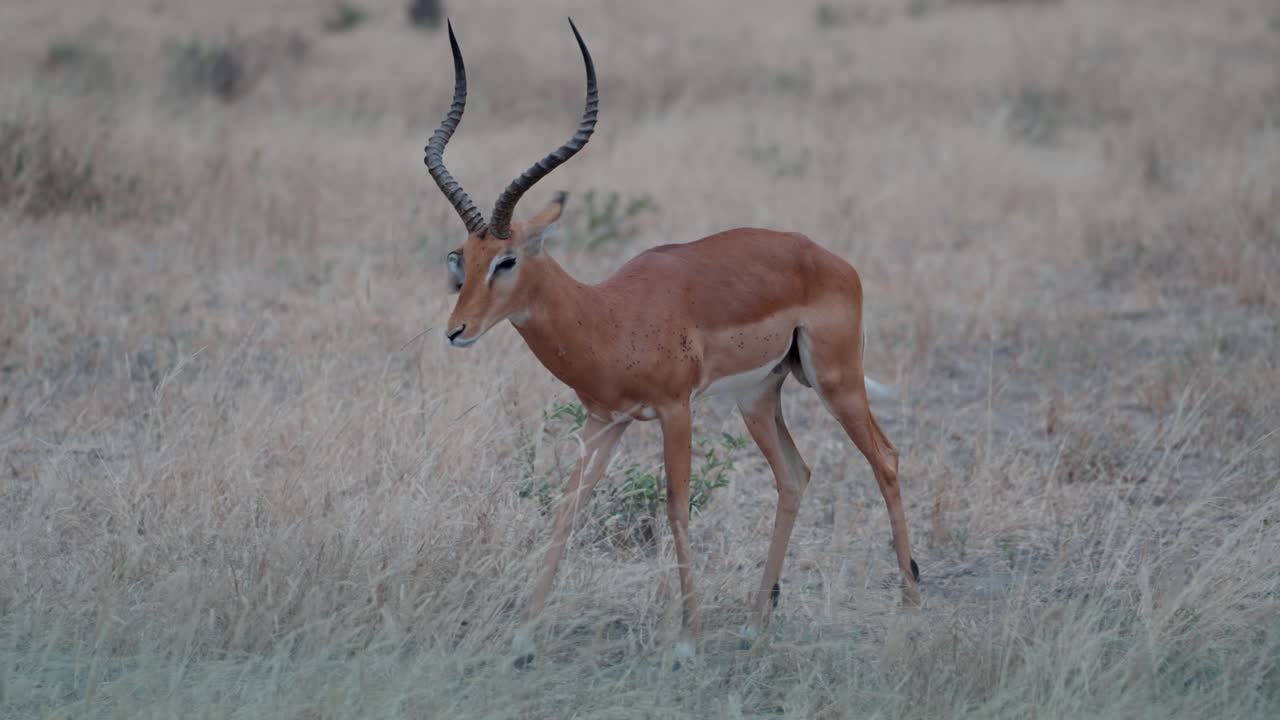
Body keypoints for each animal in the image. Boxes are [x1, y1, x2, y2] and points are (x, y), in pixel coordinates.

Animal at [427, 19, 920, 668]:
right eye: (460, 256)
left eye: (507, 259)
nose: (456, 331)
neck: (608, 316)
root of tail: (827, 257)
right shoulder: (604, 420)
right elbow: (567, 506)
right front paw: (523, 638)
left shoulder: (674, 409)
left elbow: (677, 507)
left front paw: (686, 642)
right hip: (757, 397)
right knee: (795, 474)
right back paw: (754, 625)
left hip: (836, 380)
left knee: (885, 458)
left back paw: (911, 611)